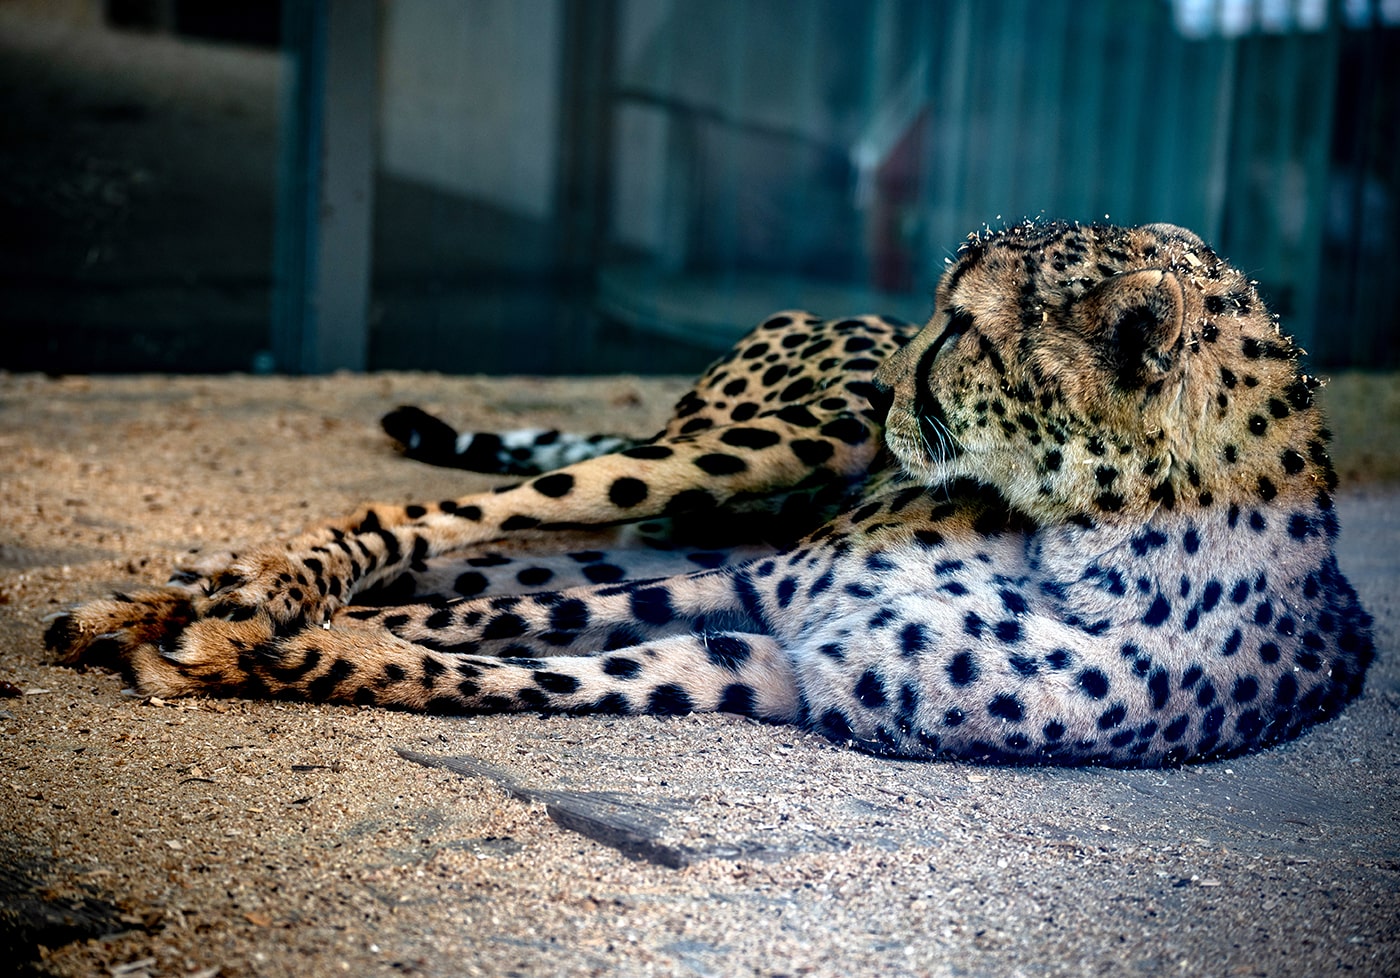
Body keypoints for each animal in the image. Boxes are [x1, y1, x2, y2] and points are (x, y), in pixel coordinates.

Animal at [49, 225, 1372, 766]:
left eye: (959, 326)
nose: (894, 375)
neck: (1086, 543)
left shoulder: (777, 663)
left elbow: (503, 664)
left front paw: (286, 652)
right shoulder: (766, 583)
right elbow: (481, 621)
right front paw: (226, 627)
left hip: (682, 515)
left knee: (493, 560)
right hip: (741, 451)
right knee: (430, 527)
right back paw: (202, 591)